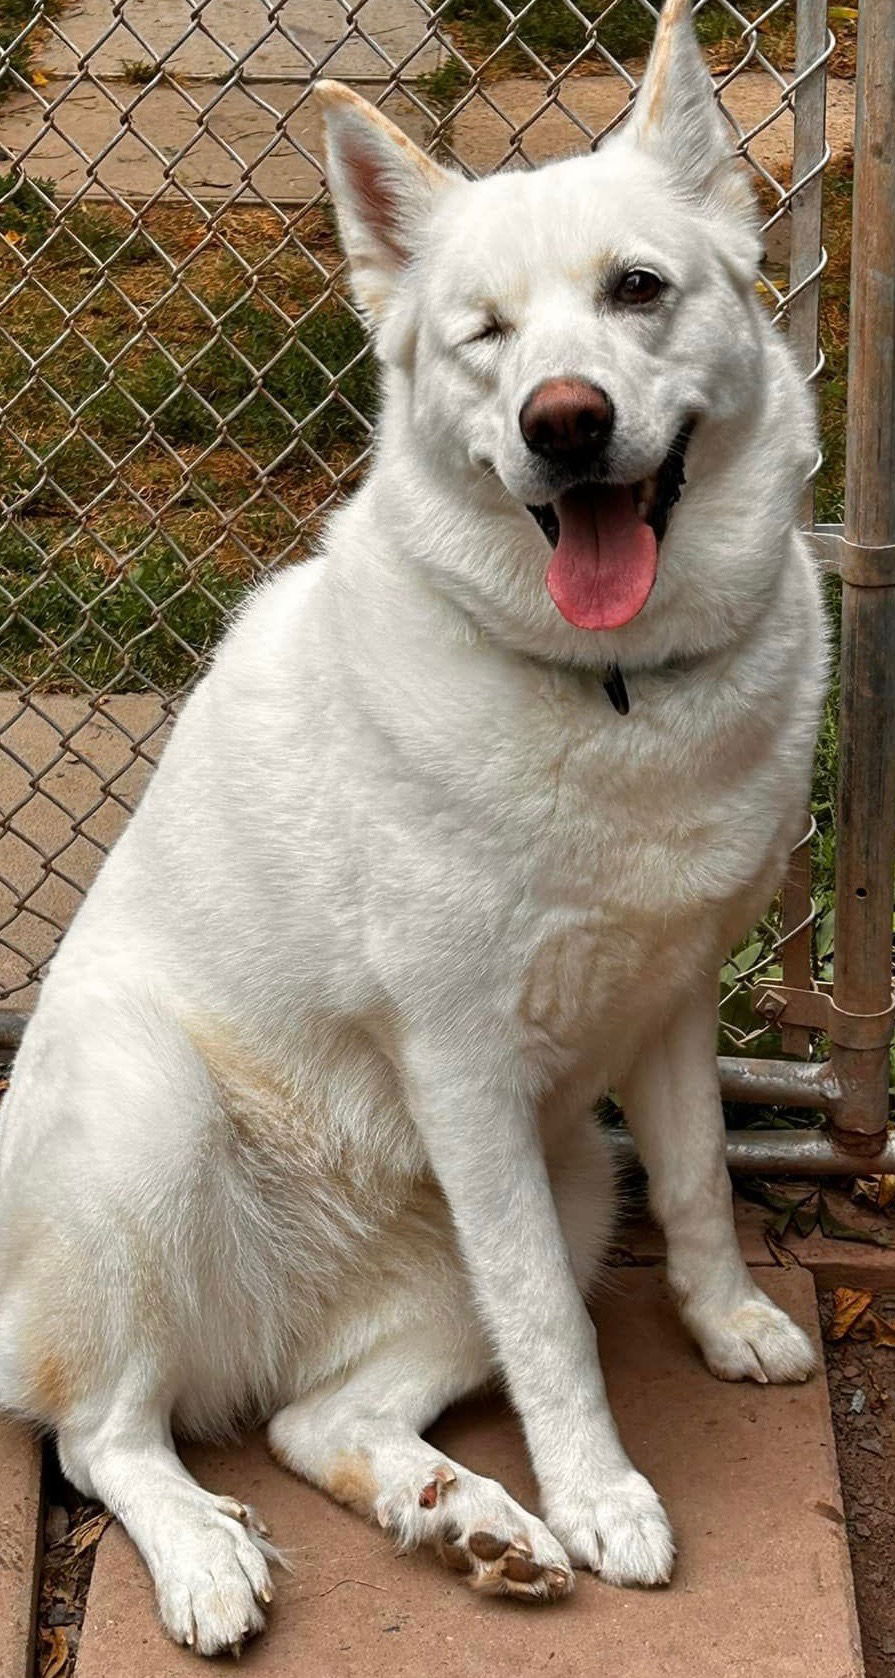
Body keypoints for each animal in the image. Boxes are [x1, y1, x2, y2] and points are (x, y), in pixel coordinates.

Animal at [0, 0, 822, 1651]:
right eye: (482, 335)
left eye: (636, 289)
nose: (562, 426)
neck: (609, 690)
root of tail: (258, 1334)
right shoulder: (460, 1063)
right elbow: (555, 1329)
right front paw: (602, 1493)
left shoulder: (671, 1008)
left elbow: (701, 1183)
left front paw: (726, 1323)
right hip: (148, 1110)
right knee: (106, 1434)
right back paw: (206, 1554)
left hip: (565, 1185)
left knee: (311, 1424)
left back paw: (465, 1517)